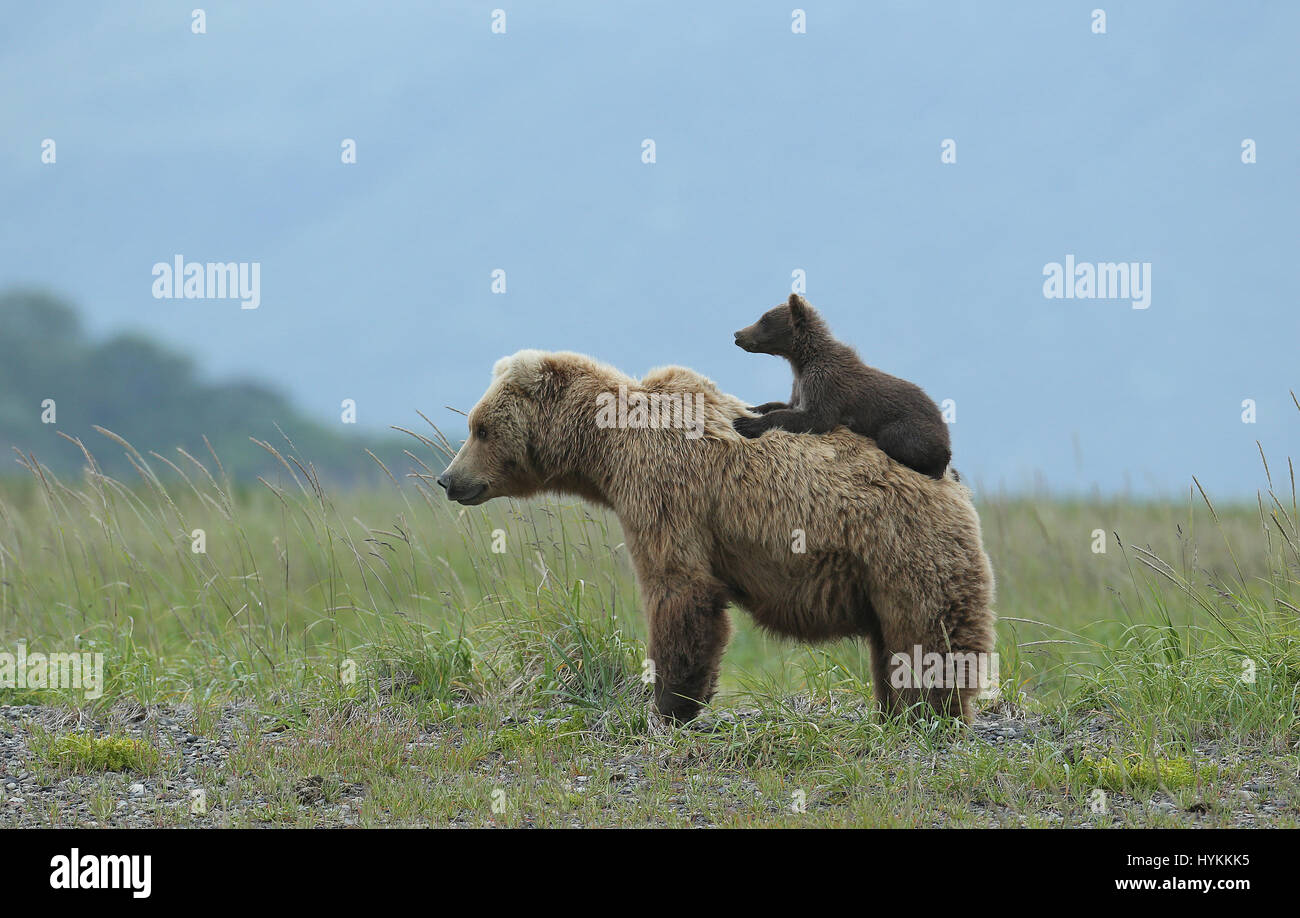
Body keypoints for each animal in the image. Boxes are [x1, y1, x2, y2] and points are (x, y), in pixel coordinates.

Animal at [436, 351, 993, 722]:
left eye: (480, 428)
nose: (448, 479)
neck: (605, 450)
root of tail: (954, 481)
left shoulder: (665, 489)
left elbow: (679, 588)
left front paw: (670, 704)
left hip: (902, 548)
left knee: (926, 634)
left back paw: (930, 714)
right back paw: (891, 712)